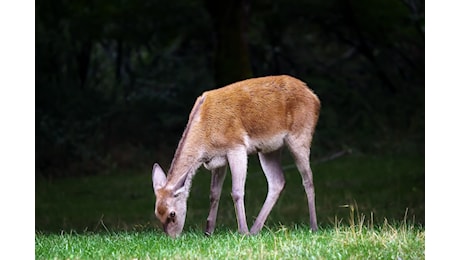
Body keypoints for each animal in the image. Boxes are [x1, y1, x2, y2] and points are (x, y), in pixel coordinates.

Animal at [151, 74, 320, 238]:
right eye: (157, 214)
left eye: (172, 214)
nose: (172, 238)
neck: (205, 135)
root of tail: (315, 97)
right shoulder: (217, 160)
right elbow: (214, 194)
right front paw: (208, 232)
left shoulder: (236, 146)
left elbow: (237, 191)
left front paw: (242, 231)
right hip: (269, 149)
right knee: (277, 181)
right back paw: (255, 230)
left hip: (300, 135)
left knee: (308, 179)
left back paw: (313, 226)